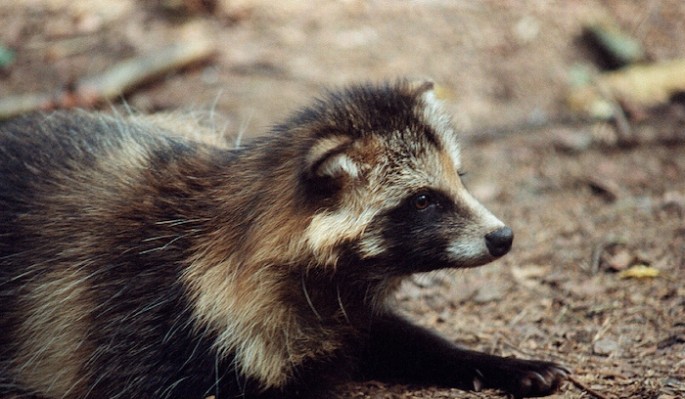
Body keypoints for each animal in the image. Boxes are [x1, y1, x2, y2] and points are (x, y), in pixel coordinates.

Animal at [0, 80, 568, 396]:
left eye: (460, 178)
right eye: (424, 200)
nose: (502, 236)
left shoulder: (339, 308)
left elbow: (390, 336)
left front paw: (491, 361)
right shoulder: (143, 318)